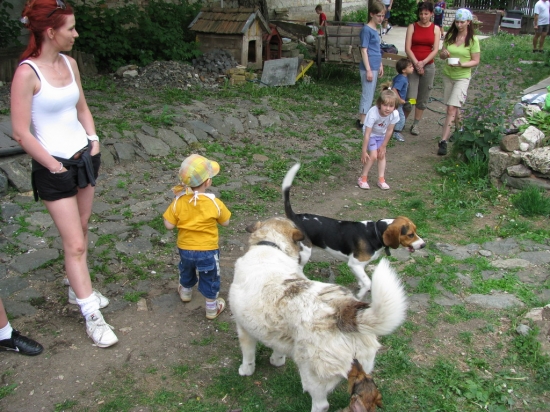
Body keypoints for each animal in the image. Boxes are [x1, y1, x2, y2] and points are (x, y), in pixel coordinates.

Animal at [230, 217, 410, 410]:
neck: (271, 245)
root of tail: (345, 310)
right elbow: (278, 349)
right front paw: (276, 361)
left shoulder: (243, 329)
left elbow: (248, 356)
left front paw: (246, 370)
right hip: (362, 368)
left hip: (312, 375)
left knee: (321, 404)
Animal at [284, 162, 426, 300]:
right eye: (410, 235)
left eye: (416, 231)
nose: (423, 245)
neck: (375, 233)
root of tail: (295, 217)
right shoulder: (355, 264)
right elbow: (367, 282)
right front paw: (360, 295)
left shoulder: (358, 266)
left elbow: (362, 280)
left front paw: (360, 287)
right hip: (305, 252)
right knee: (298, 269)